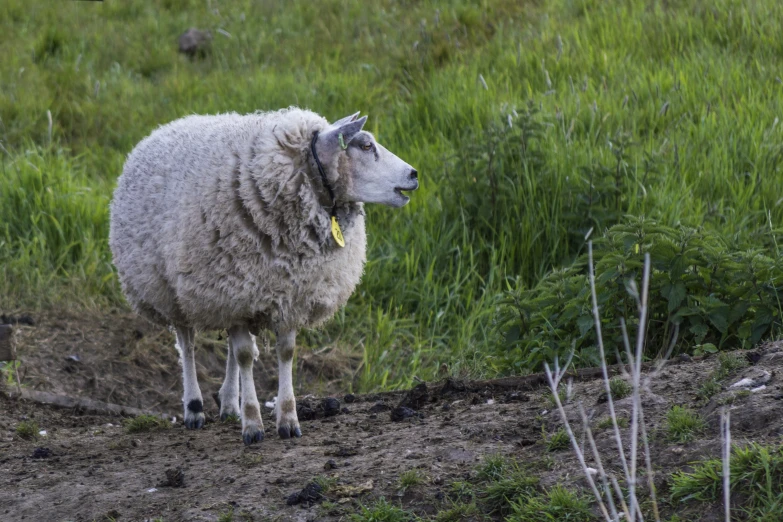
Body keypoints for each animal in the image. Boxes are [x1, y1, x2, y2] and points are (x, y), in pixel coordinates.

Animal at [108, 107, 422, 440]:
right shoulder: (230, 290)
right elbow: (245, 355)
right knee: (188, 344)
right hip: (173, 290)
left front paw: (287, 419)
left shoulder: (288, 294)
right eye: (364, 146)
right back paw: (194, 407)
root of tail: (168, 125)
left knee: (228, 348)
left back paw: (229, 404)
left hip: (231, 293)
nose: (414, 174)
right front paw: (252, 424)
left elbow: (285, 352)